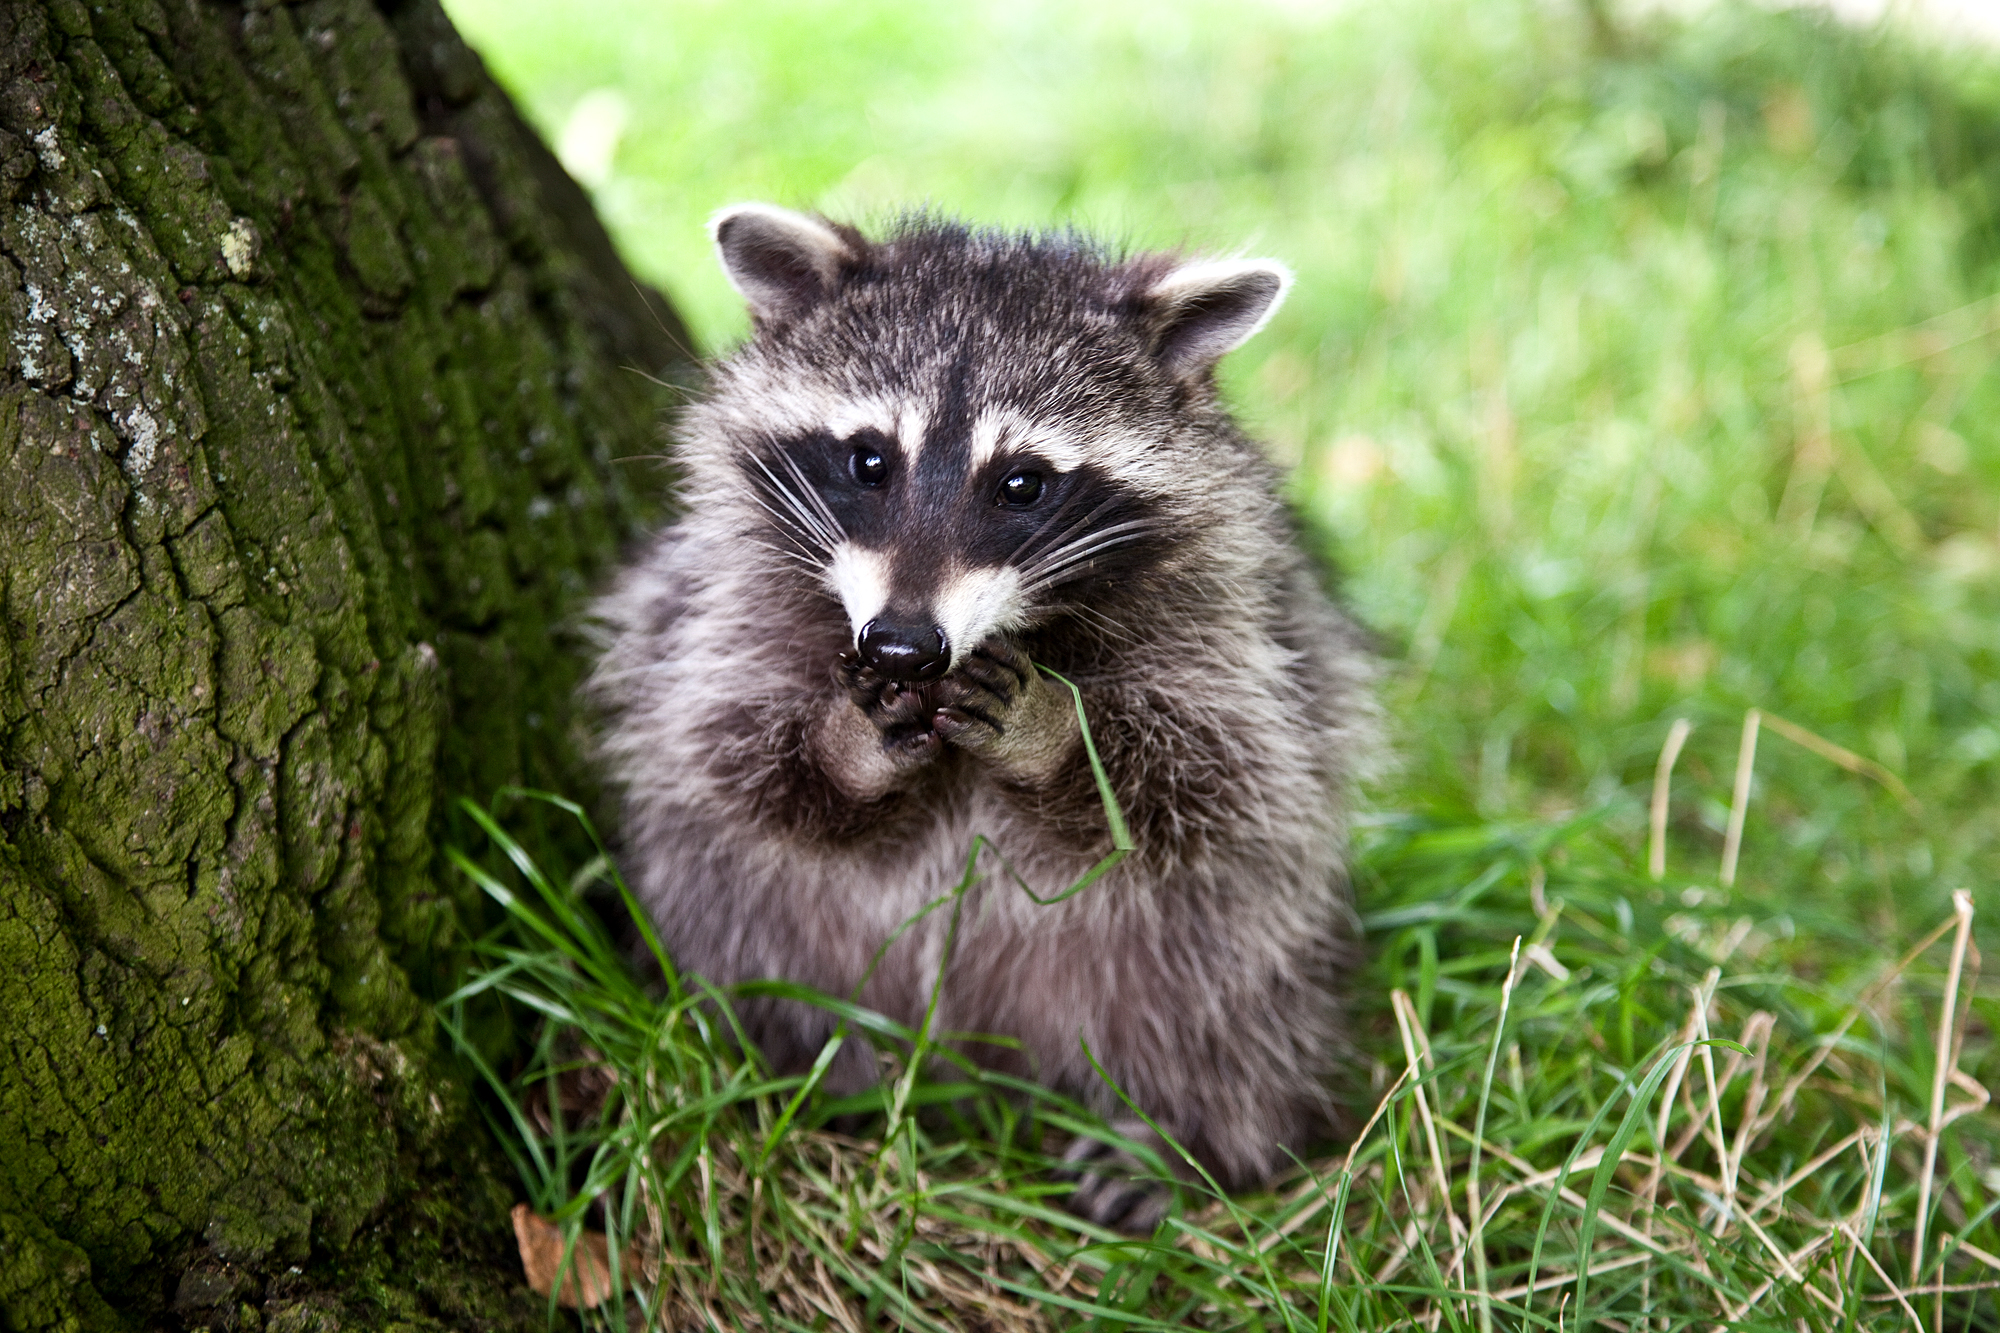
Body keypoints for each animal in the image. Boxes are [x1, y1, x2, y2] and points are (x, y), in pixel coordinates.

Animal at [584, 200, 1384, 1224]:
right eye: (869, 460)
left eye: (1022, 483)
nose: (901, 645)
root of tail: (978, 1069)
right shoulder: (719, 598)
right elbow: (717, 741)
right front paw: (846, 750)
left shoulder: (1240, 625)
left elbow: (1220, 777)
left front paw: (1057, 739)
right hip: (752, 933)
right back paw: (808, 1077)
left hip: (1217, 950)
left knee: (1227, 1007)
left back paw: (1185, 1129)